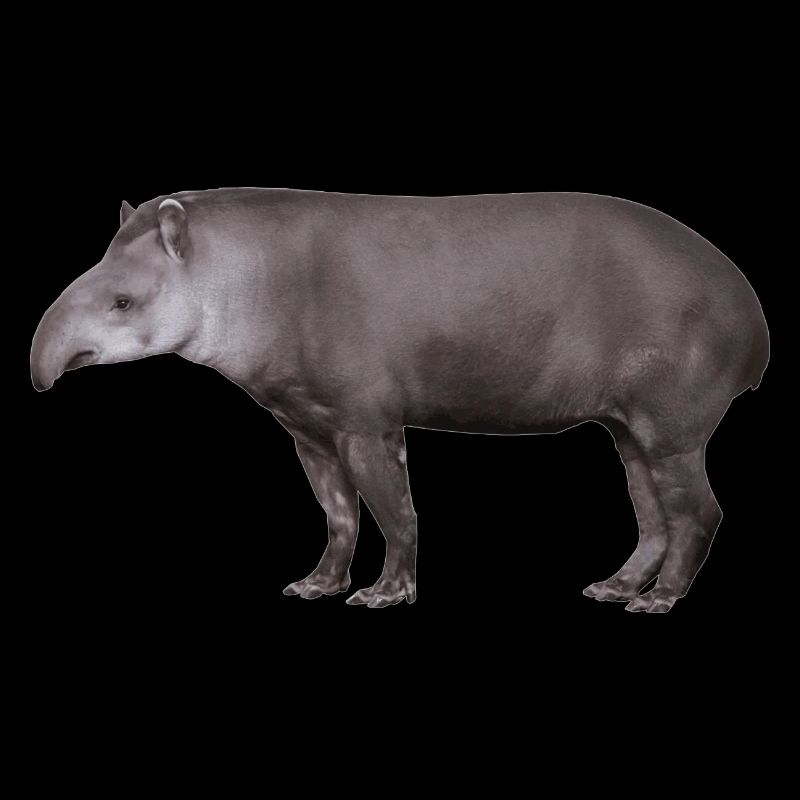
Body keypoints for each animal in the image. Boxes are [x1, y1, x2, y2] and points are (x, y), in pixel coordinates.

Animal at [30, 189, 769, 611]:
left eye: (123, 301)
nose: (41, 374)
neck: (243, 275)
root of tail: (755, 321)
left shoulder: (365, 416)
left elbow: (395, 510)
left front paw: (385, 595)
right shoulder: (307, 421)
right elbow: (337, 513)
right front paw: (317, 586)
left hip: (674, 408)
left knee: (696, 510)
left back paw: (658, 601)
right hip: (628, 420)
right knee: (650, 506)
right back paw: (614, 588)